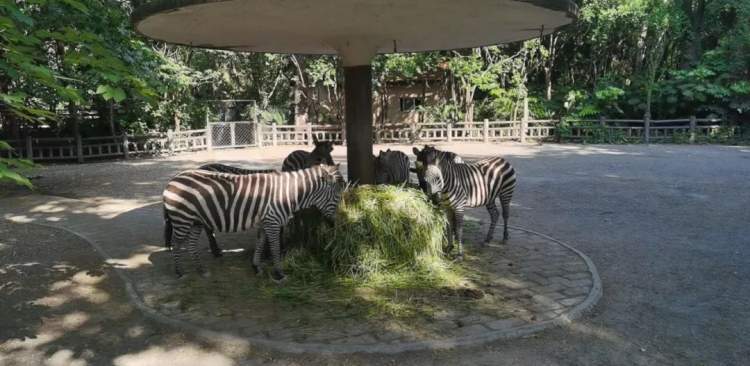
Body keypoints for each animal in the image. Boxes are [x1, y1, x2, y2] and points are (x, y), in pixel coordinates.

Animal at [163, 164, 346, 282]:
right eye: (337, 194)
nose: (335, 223)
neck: (289, 193)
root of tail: (172, 180)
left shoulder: (264, 223)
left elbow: (260, 243)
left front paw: (256, 267)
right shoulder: (273, 222)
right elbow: (274, 247)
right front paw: (279, 274)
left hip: (196, 221)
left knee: (191, 244)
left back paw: (201, 270)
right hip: (182, 219)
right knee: (177, 243)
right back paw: (179, 272)